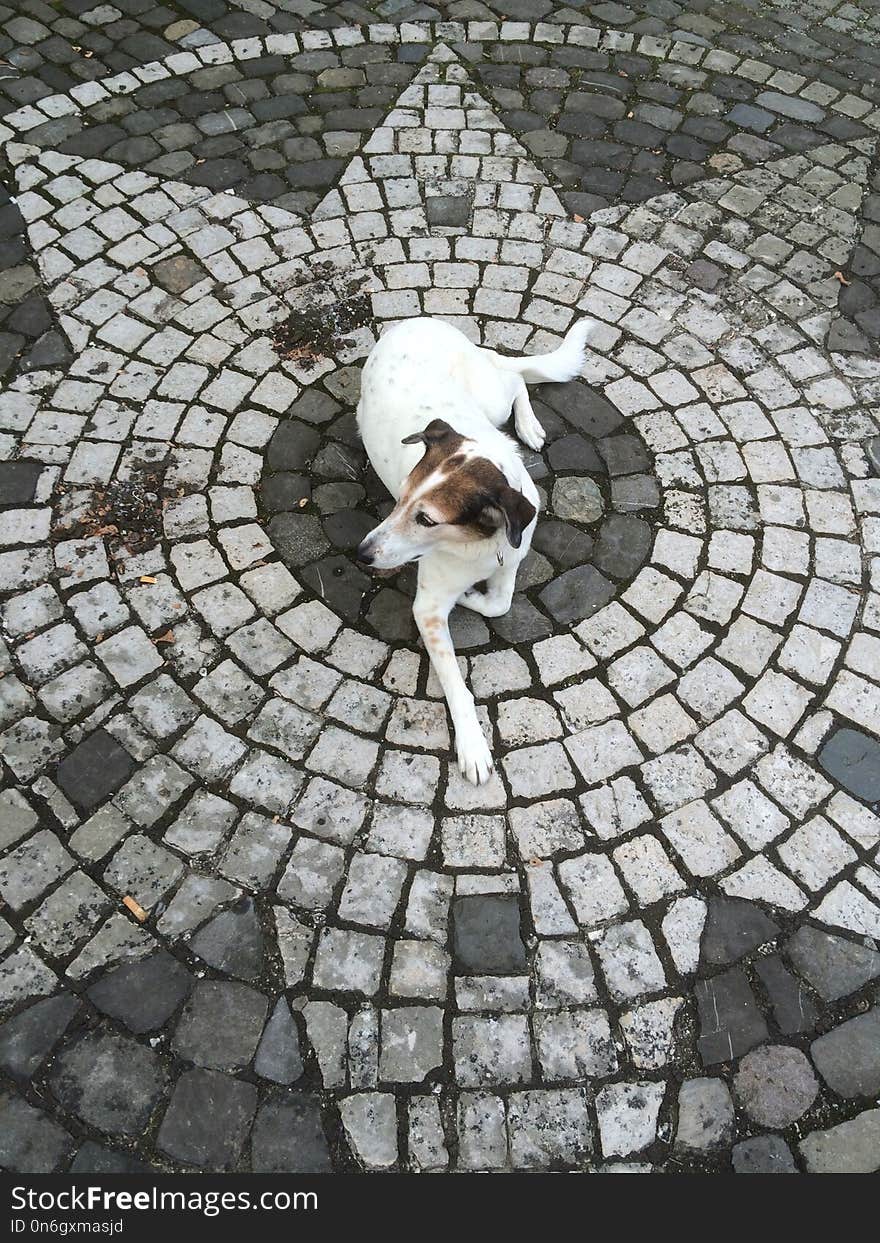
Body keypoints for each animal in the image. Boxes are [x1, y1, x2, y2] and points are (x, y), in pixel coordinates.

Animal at [352, 315, 586, 780]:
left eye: (427, 519)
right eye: (399, 498)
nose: (362, 554)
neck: (480, 542)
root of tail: (415, 321)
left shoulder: (512, 556)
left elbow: (500, 603)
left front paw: (472, 595)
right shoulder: (428, 609)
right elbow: (457, 685)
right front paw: (473, 745)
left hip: (490, 398)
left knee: (515, 378)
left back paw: (528, 427)